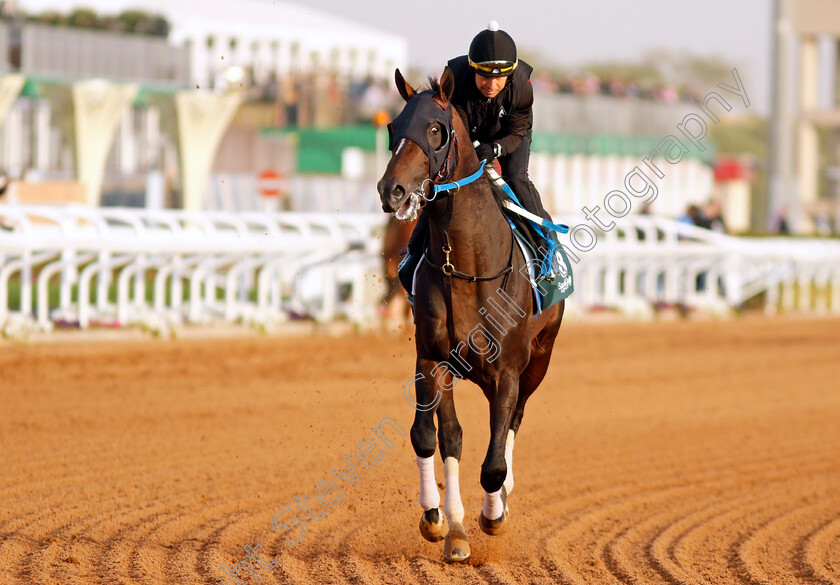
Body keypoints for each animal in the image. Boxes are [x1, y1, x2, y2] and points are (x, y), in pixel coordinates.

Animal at [376, 65, 564, 560]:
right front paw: (442, 521)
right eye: (393, 127)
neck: (467, 264)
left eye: (435, 129)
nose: (390, 190)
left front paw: (493, 514)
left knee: (515, 421)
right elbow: (435, 437)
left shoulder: (509, 371)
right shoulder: (432, 360)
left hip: (540, 358)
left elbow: (494, 458)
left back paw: (503, 499)